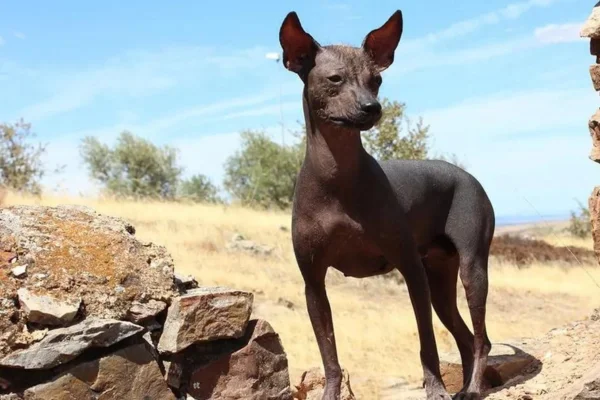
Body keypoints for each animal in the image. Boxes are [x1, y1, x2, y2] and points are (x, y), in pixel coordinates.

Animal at [278, 9, 494, 400]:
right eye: (334, 79)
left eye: (376, 80)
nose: (372, 107)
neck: (337, 177)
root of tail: (466, 175)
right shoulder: (313, 283)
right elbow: (329, 354)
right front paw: (330, 392)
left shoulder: (411, 271)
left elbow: (427, 345)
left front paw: (435, 389)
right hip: (440, 281)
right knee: (467, 337)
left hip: (472, 269)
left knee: (481, 339)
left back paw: (471, 390)